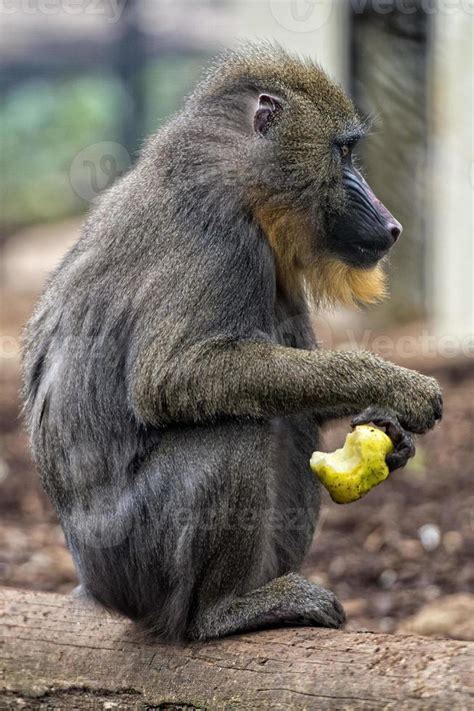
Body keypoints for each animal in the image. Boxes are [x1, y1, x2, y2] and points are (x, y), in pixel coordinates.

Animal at [24, 47, 442, 644]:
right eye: (343, 152)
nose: (392, 226)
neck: (237, 175)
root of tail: (99, 590)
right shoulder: (217, 234)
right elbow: (173, 376)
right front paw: (399, 387)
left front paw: (388, 425)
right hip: (139, 559)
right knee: (237, 428)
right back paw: (223, 611)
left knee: (290, 419)